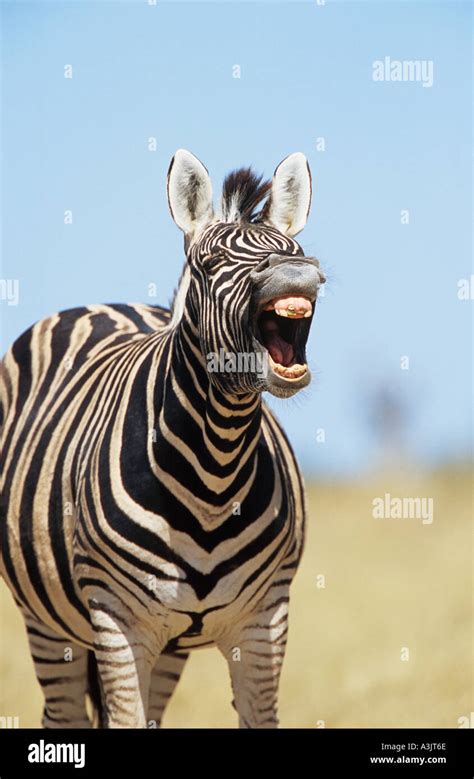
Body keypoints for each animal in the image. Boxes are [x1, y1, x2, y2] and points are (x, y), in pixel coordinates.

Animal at [0, 149, 326, 729]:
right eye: (210, 264)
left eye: (296, 252)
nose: (298, 273)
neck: (216, 466)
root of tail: (102, 304)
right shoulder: (119, 620)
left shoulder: (265, 620)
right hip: (49, 624)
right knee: (63, 716)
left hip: (169, 648)